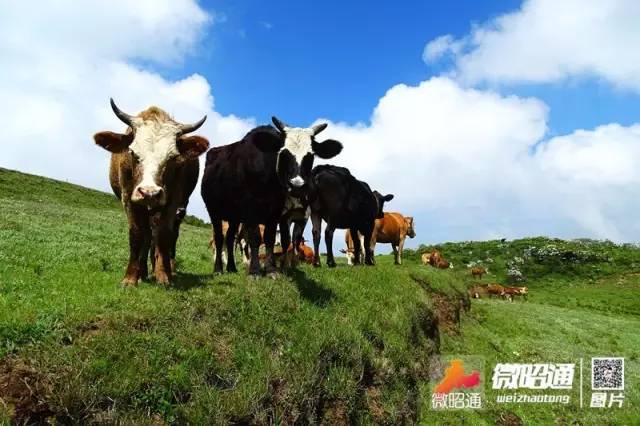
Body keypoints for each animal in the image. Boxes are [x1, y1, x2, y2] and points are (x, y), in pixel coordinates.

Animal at [94, 99, 209, 286]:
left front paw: (164, 275)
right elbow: (137, 234)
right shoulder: (128, 198)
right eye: (132, 152)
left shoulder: (172, 200)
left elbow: (163, 234)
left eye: (173, 158)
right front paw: (130, 278)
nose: (149, 193)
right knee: (147, 235)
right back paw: (143, 272)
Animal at [201, 117, 342, 276]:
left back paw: (231, 267)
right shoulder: (251, 208)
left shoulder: (275, 211)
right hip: (213, 210)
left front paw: (270, 270)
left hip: (234, 217)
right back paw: (218, 268)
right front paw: (255, 271)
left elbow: (270, 237)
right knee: (219, 238)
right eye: (284, 153)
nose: (297, 185)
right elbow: (256, 238)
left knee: (231, 238)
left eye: (310, 156)